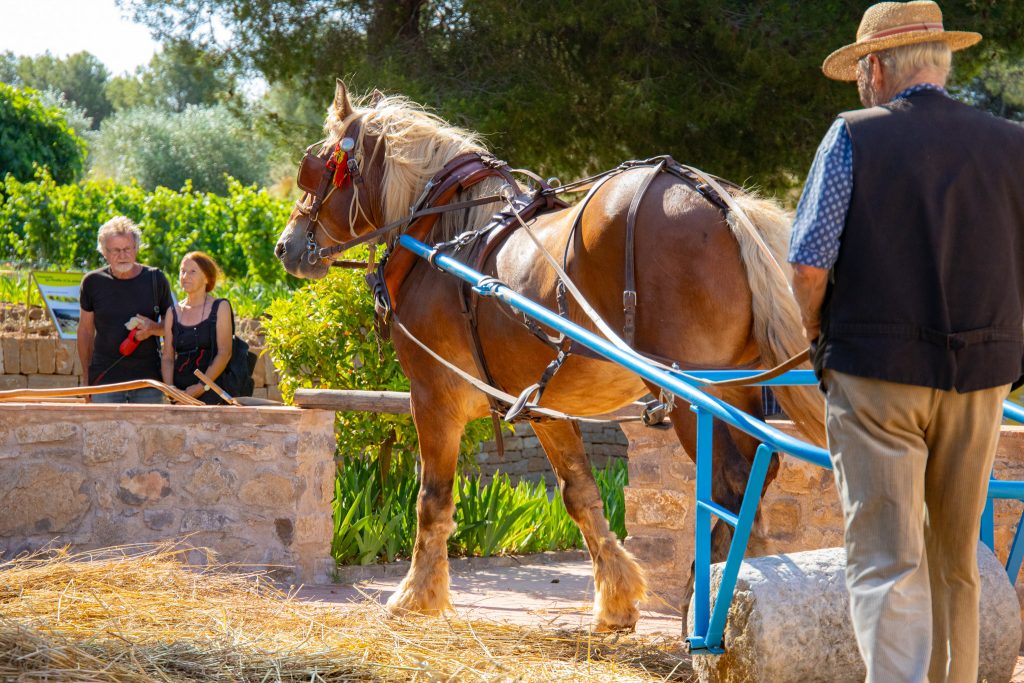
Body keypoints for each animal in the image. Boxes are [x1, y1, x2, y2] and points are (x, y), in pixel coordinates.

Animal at [274, 82, 823, 634]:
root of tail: (719, 200)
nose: (284, 246)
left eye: (317, 167)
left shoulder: (432, 395)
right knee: (759, 474)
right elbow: (580, 494)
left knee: (729, 483)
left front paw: (415, 595)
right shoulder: (542, 405)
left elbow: (432, 499)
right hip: (739, 384)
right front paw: (616, 600)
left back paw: (707, 609)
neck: (444, 237)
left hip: (694, 389)